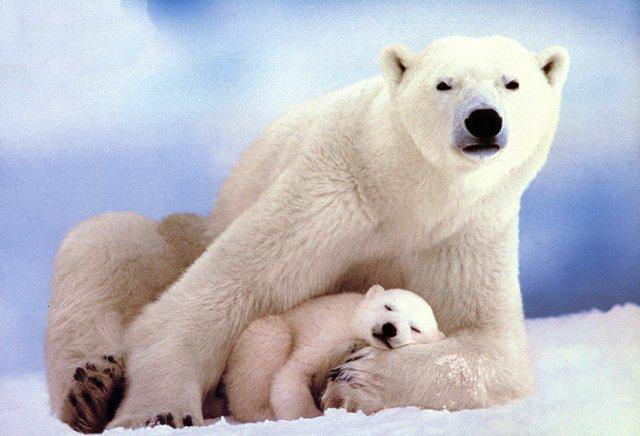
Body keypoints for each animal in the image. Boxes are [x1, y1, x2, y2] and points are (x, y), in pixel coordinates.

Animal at [223, 285, 444, 423]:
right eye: (388, 306)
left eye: (415, 328)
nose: (390, 328)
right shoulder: (328, 335)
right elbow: (292, 374)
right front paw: (309, 416)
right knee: (271, 337)